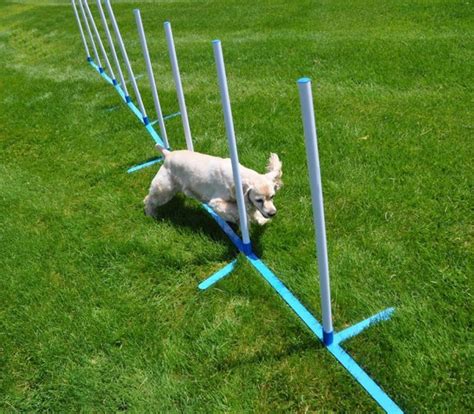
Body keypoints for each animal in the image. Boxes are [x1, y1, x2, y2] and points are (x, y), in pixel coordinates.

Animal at [143, 144, 282, 225]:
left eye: (272, 196)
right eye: (259, 200)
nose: (272, 213)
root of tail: (168, 154)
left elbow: (253, 210)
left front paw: (261, 220)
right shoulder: (217, 202)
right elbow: (237, 210)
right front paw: (244, 219)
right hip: (164, 188)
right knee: (149, 199)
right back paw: (151, 214)